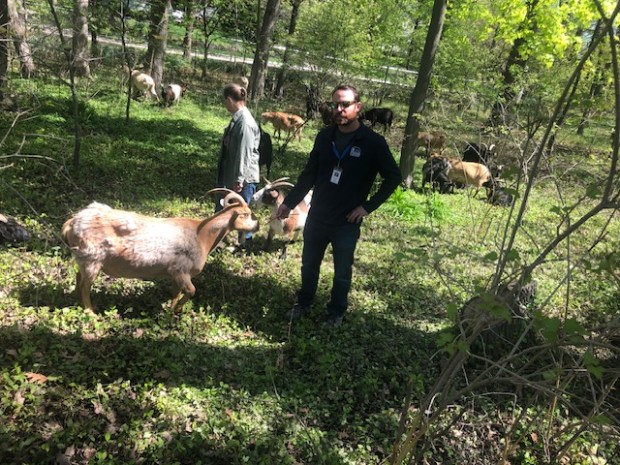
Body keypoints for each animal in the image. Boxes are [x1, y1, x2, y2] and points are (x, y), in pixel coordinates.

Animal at [60, 188, 260, 312]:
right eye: (246, 214)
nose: (257, 225)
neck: (201, 236)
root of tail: (71, 222)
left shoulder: (175, 276)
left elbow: (176, 293)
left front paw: (170, 312)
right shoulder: (180, 271)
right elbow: (192, 291)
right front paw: (177, 309)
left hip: (84, 260)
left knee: (79, 278)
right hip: (92, 259)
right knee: (85, 286)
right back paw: (90, 312)